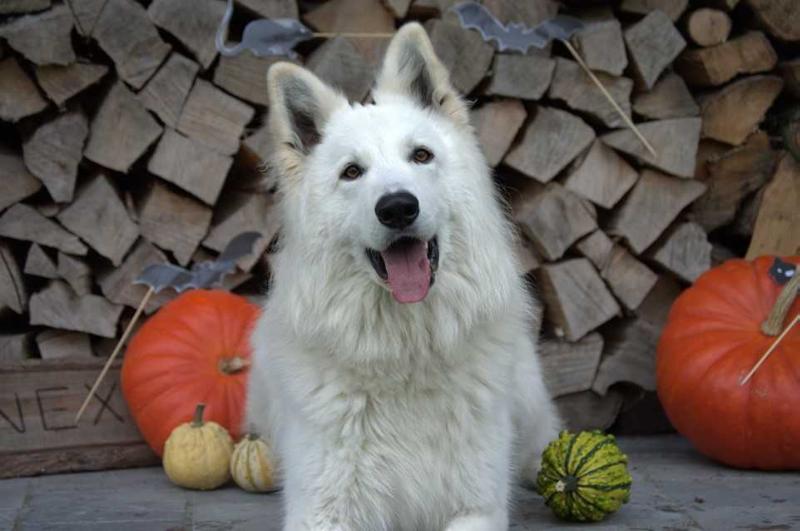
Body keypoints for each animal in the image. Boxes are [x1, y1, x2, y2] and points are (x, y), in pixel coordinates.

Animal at [247, 21, 560, 531]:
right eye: (352, 172)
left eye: (421, 155)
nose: (397, 207)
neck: (405, 351)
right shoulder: (322, 511)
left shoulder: (477, 506)